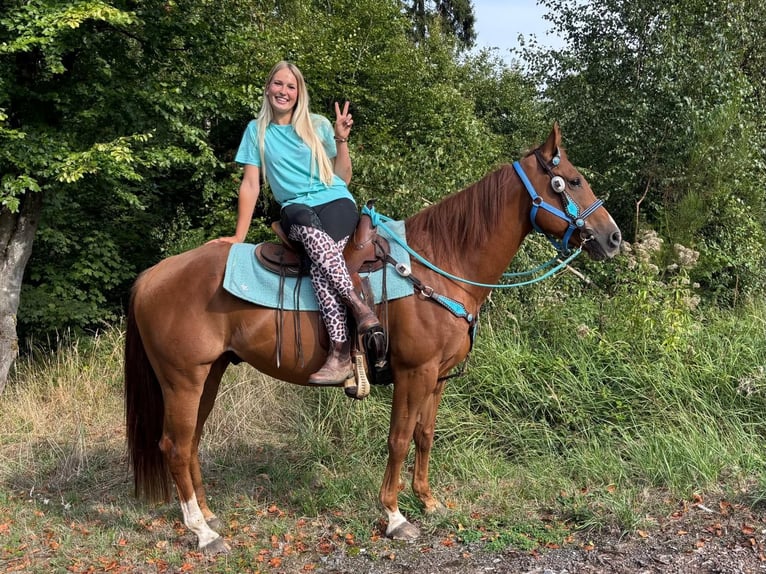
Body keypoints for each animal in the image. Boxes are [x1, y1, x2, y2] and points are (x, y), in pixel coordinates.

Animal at [124, 123, 622, 553]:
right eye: (572, 181)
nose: (613, 238)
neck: (440, 264)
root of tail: (150, 276)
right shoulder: (414, 372)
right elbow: (399, 439)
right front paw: (396, 516)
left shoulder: (437, 378)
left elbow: (425, 435)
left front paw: (429, 501)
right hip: (183, 380)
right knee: (174, 446)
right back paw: (202, 532)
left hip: (208, 375)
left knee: (190, 442)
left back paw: (208, 516)